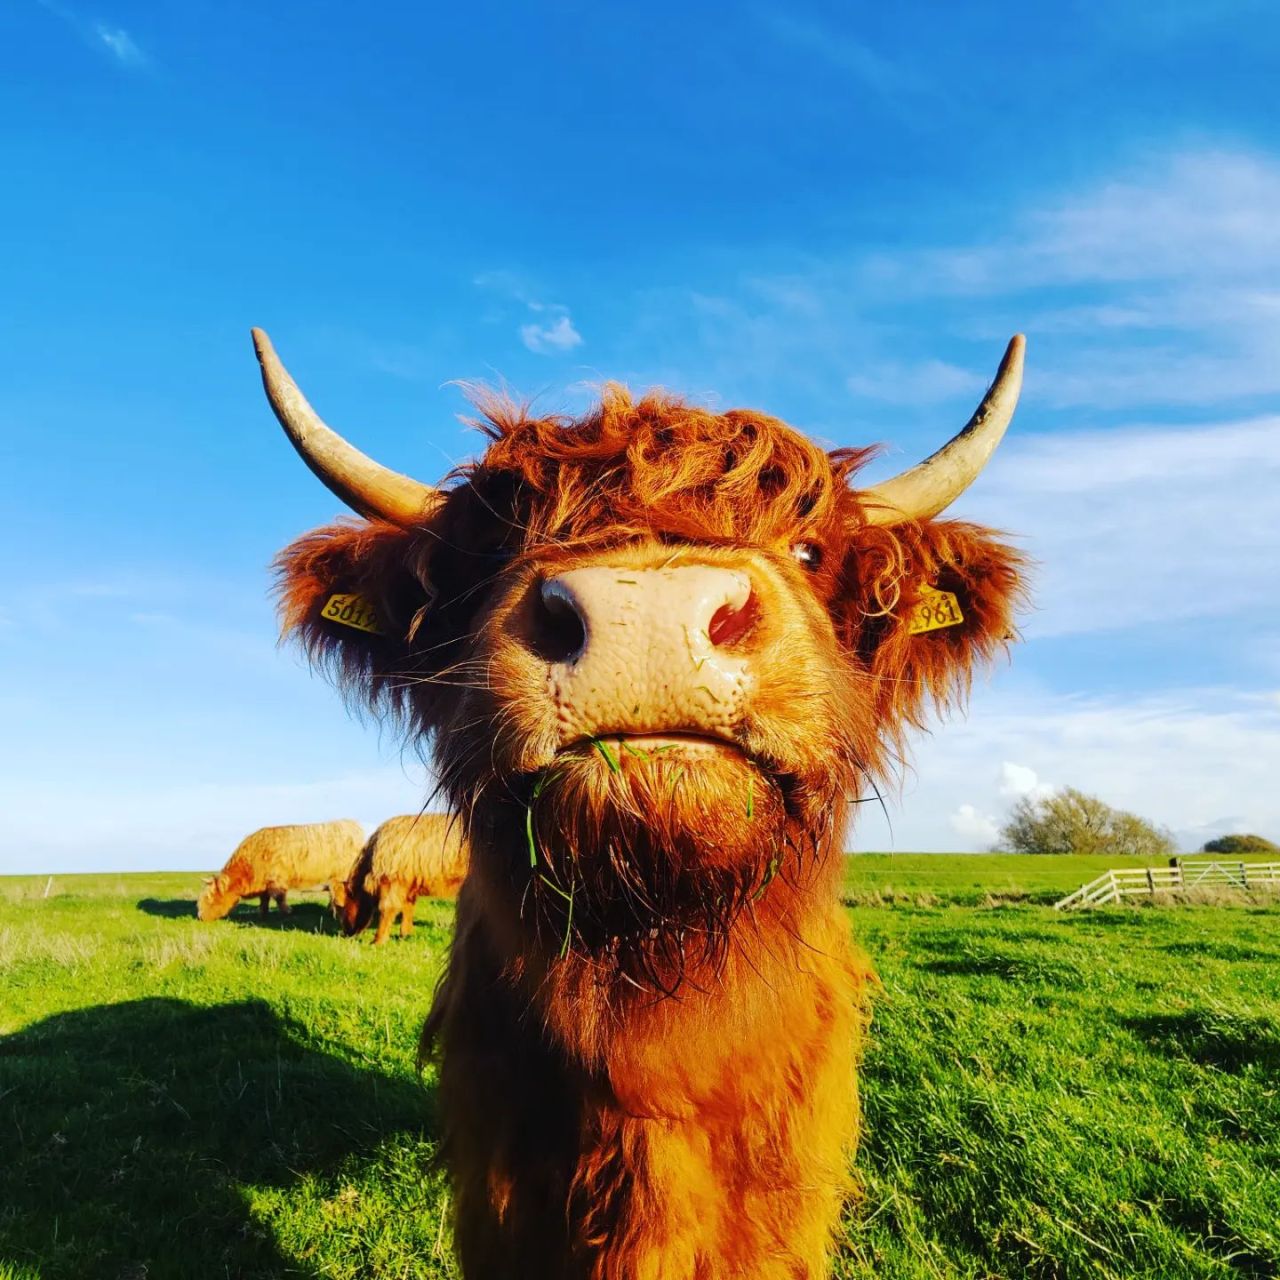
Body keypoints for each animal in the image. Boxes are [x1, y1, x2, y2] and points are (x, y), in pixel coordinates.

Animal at [197, 819, 364, 922]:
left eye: (209, 898)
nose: (200, 917)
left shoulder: (277, 880)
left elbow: (278, 898)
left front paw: (287, 912)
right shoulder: (264, 884)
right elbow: (264, 900)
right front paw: (262, 915)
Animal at [339, 812, 470, 944]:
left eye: (344, 905)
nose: (345, 932)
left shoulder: (392, 881)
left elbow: (386, 908)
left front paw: (378, 941)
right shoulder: (408, 885)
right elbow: (407, 909)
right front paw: (405, 935)